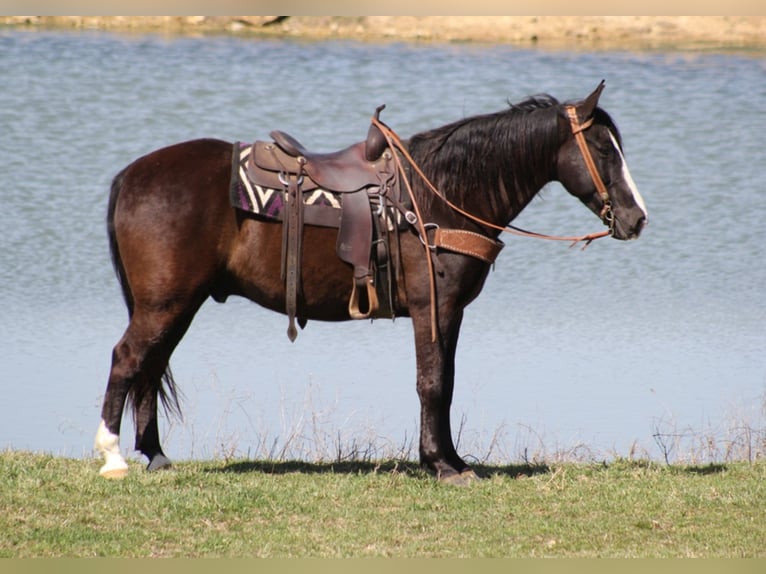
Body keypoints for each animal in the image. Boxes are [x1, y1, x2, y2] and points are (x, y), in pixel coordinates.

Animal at [96, 81, 648, 486]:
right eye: (603, 148)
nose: (637, 219)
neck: (439, 195)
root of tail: (130, 175)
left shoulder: (448, 312)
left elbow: (445, 382)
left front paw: (448, 459)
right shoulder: (433, 307)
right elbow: (433, 383)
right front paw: (442, 465)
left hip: (176, 305)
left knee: (151, 366)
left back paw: (156, 455)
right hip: (164, 303)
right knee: (128, 360)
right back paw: (113, 456)